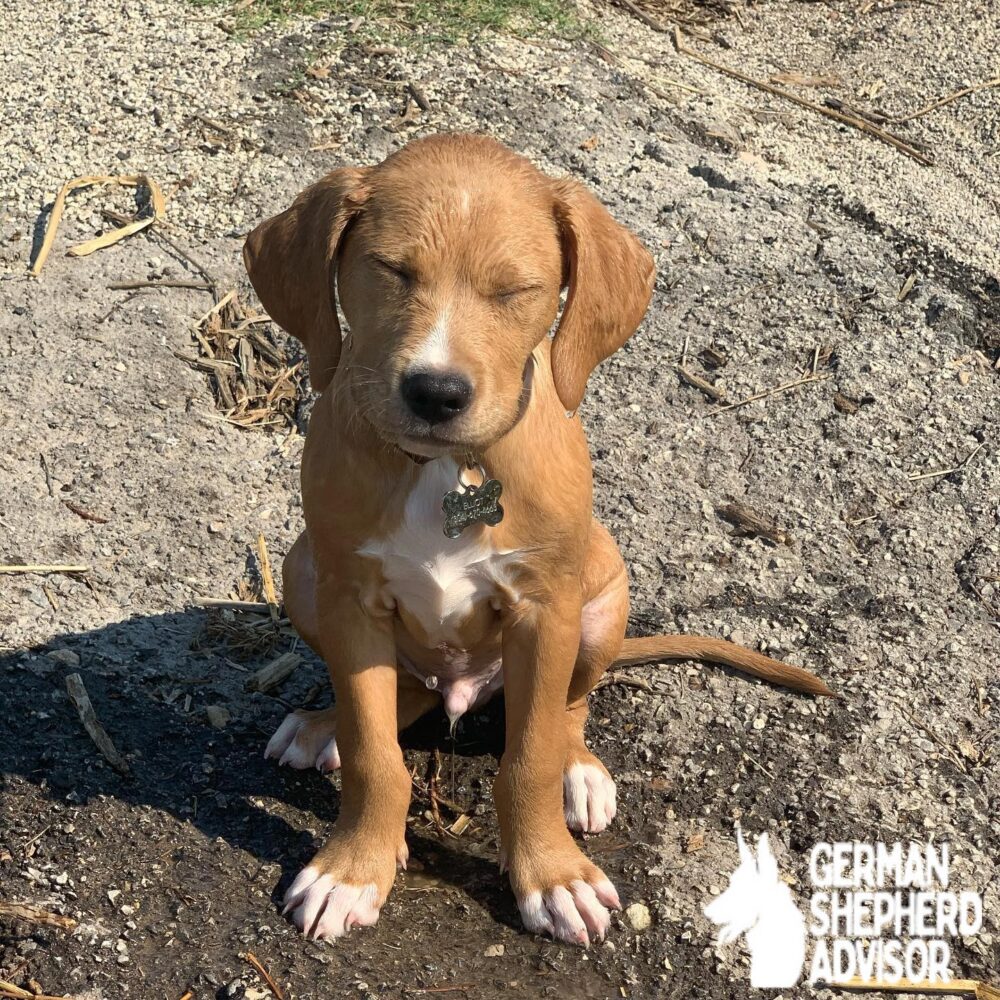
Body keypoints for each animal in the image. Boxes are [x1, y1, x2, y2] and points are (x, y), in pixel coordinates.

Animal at [242, 133, 828, 944]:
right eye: (391, 271)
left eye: (515, 291)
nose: (435, 393)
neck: (450, 471)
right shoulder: (352, 601)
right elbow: (374, 754)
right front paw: (353, 866)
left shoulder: (545, 612)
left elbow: (531, 754)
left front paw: (551, 876)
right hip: (303, 571)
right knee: (404, 697)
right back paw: (324, 726)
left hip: (601, 596)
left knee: (569, 708)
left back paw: (580, 773)